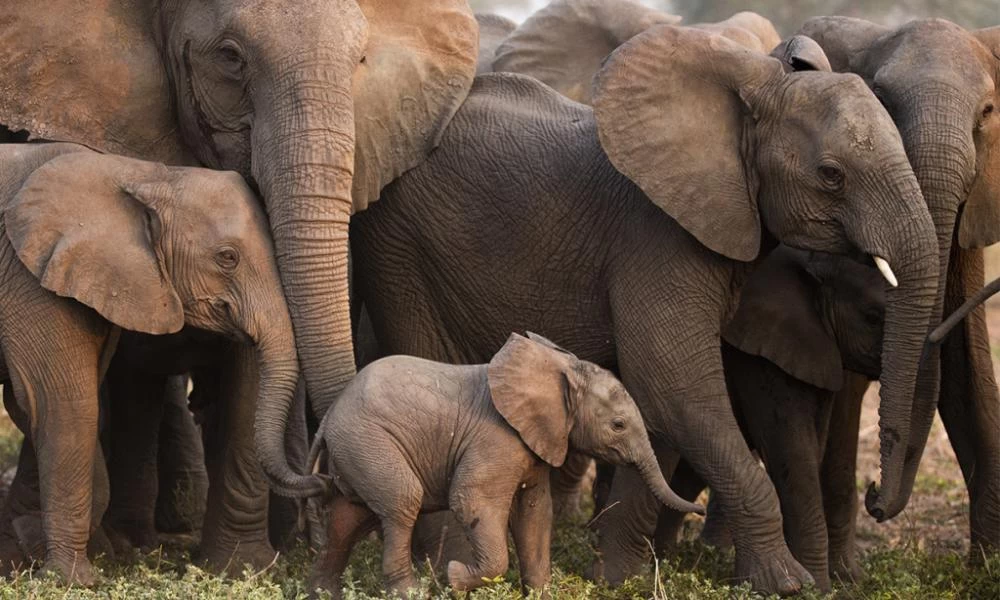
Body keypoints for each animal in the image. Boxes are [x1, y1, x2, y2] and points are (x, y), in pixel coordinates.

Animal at [0, 143, 300, 584]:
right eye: (227, 257)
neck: (140, 174)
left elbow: (45, 407)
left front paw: (28, 544)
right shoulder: (29, 281)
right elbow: (65, 405)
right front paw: (73, 580)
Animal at [266, 330, 704, 596]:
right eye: (618, 425)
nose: (699, 509)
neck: (559, 367)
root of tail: (328, 419)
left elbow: (535, 513)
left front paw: (540, 593)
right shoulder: (497, 440)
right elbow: (472, 500)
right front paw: (455, 576)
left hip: (357, 451)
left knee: (349, 517)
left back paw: (321, 592)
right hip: (369, 442)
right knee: (400, 503)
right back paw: (411, 591)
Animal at [332, 24, 940, 596]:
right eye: (831, 175)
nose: (874, 496)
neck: (748, 95)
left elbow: (659, 408)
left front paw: (615, 579)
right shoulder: (657, 239)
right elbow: (678, 390)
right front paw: (785, 584)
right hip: (399, 248)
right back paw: (441, 566)